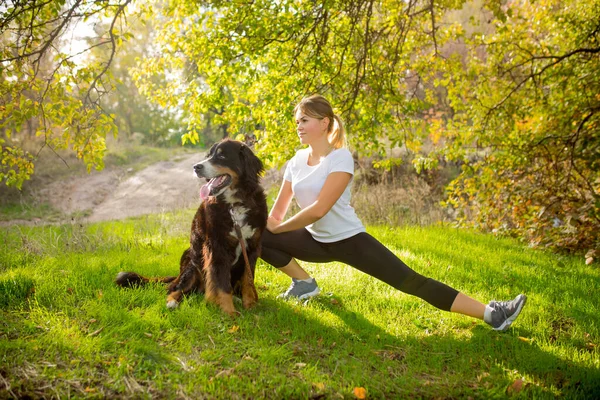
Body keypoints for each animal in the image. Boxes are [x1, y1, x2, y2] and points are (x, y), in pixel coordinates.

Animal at [116, 139, 266, 318]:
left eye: (222, 156)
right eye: (208, 155)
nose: (196, 167)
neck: (234, 205)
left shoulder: (252, 247)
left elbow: (248, 280)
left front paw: (250, 306)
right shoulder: (217, 249)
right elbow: (221, 284)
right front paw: (228, 312)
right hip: (192, 264)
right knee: (175, 289)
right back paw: (173, 302)